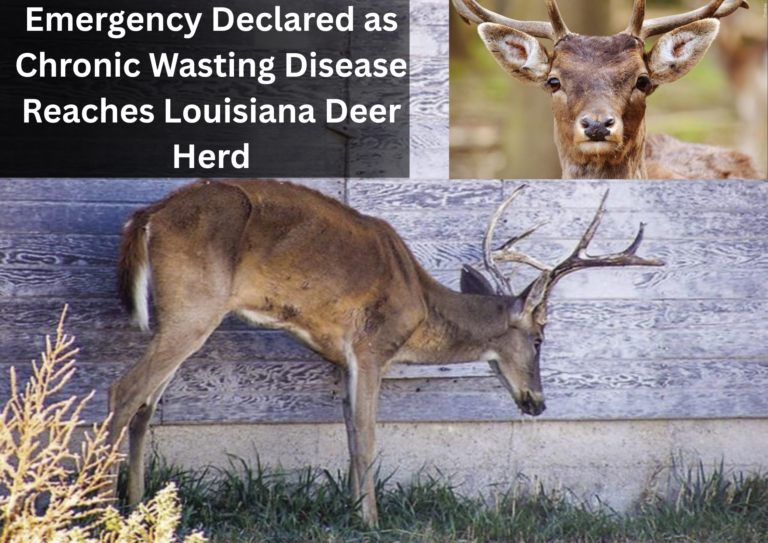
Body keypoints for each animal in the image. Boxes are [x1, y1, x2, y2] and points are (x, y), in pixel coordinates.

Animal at [111, 179, 662, 526]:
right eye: (541, 338)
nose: (538, 402)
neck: (419, 305)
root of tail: (146, 217)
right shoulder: (372, 347)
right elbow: (369, 439)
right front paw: (372, 521)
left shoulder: (341, 360)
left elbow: (351, 435)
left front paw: (352, 512)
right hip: (194, 305)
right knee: (124, 390)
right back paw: (102, 505)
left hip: (181, 314)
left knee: (146, 405)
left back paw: (141, 507)